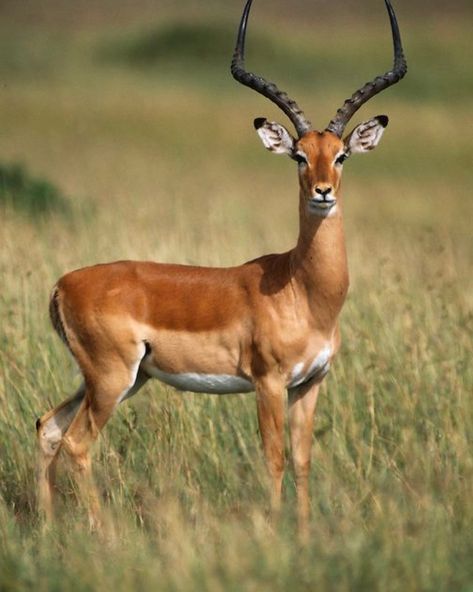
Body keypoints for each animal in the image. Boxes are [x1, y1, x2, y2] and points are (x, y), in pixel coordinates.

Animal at [36, 0, 406, 536]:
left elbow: (302, 459)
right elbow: (273, 458)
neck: (302, 290)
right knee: (76, 442)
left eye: (341, 156)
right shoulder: (269, 383)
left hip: (118, 379)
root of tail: (63, 285)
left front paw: (304, 534)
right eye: (299, 155)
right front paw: (274, 533)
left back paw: (46, 526)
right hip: (111, 380)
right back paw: (104, 534)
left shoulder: (310, 384)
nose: (322, 192)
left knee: (47, 427)